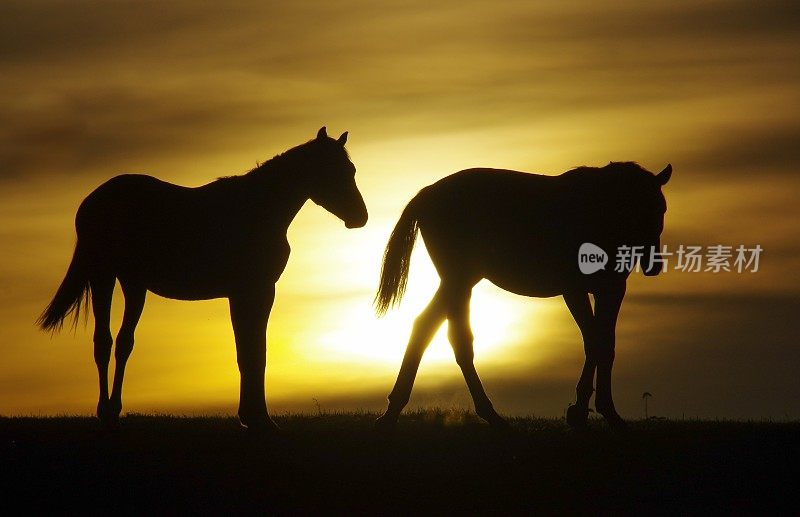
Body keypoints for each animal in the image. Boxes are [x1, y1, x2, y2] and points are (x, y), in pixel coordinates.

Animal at [34, 127, 366, 430]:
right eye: (332, 171)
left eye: (350, 170)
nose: (359, 218)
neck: (259, 209)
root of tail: (91, 201)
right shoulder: (251, 290)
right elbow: (251, 353)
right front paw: (258, 418)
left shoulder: (253, 292)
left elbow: (252, 350)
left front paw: (252, 416)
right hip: (103, 276)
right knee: (103, 341)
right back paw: (104, 412)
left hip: (133, 284)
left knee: (124, 342)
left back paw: (114, 410)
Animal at [374, 160, 668, 428]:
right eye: (632, 209)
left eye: (661, 209)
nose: (653, 265)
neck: (597, 211)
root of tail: (427, 193)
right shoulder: (575, 289)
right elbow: (596, 342)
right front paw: (589, 412)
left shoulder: (611, 289)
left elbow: (603, 344)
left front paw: (595, 411)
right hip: (458, 280)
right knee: (444, 333)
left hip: (459, 282)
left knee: (436, 331)